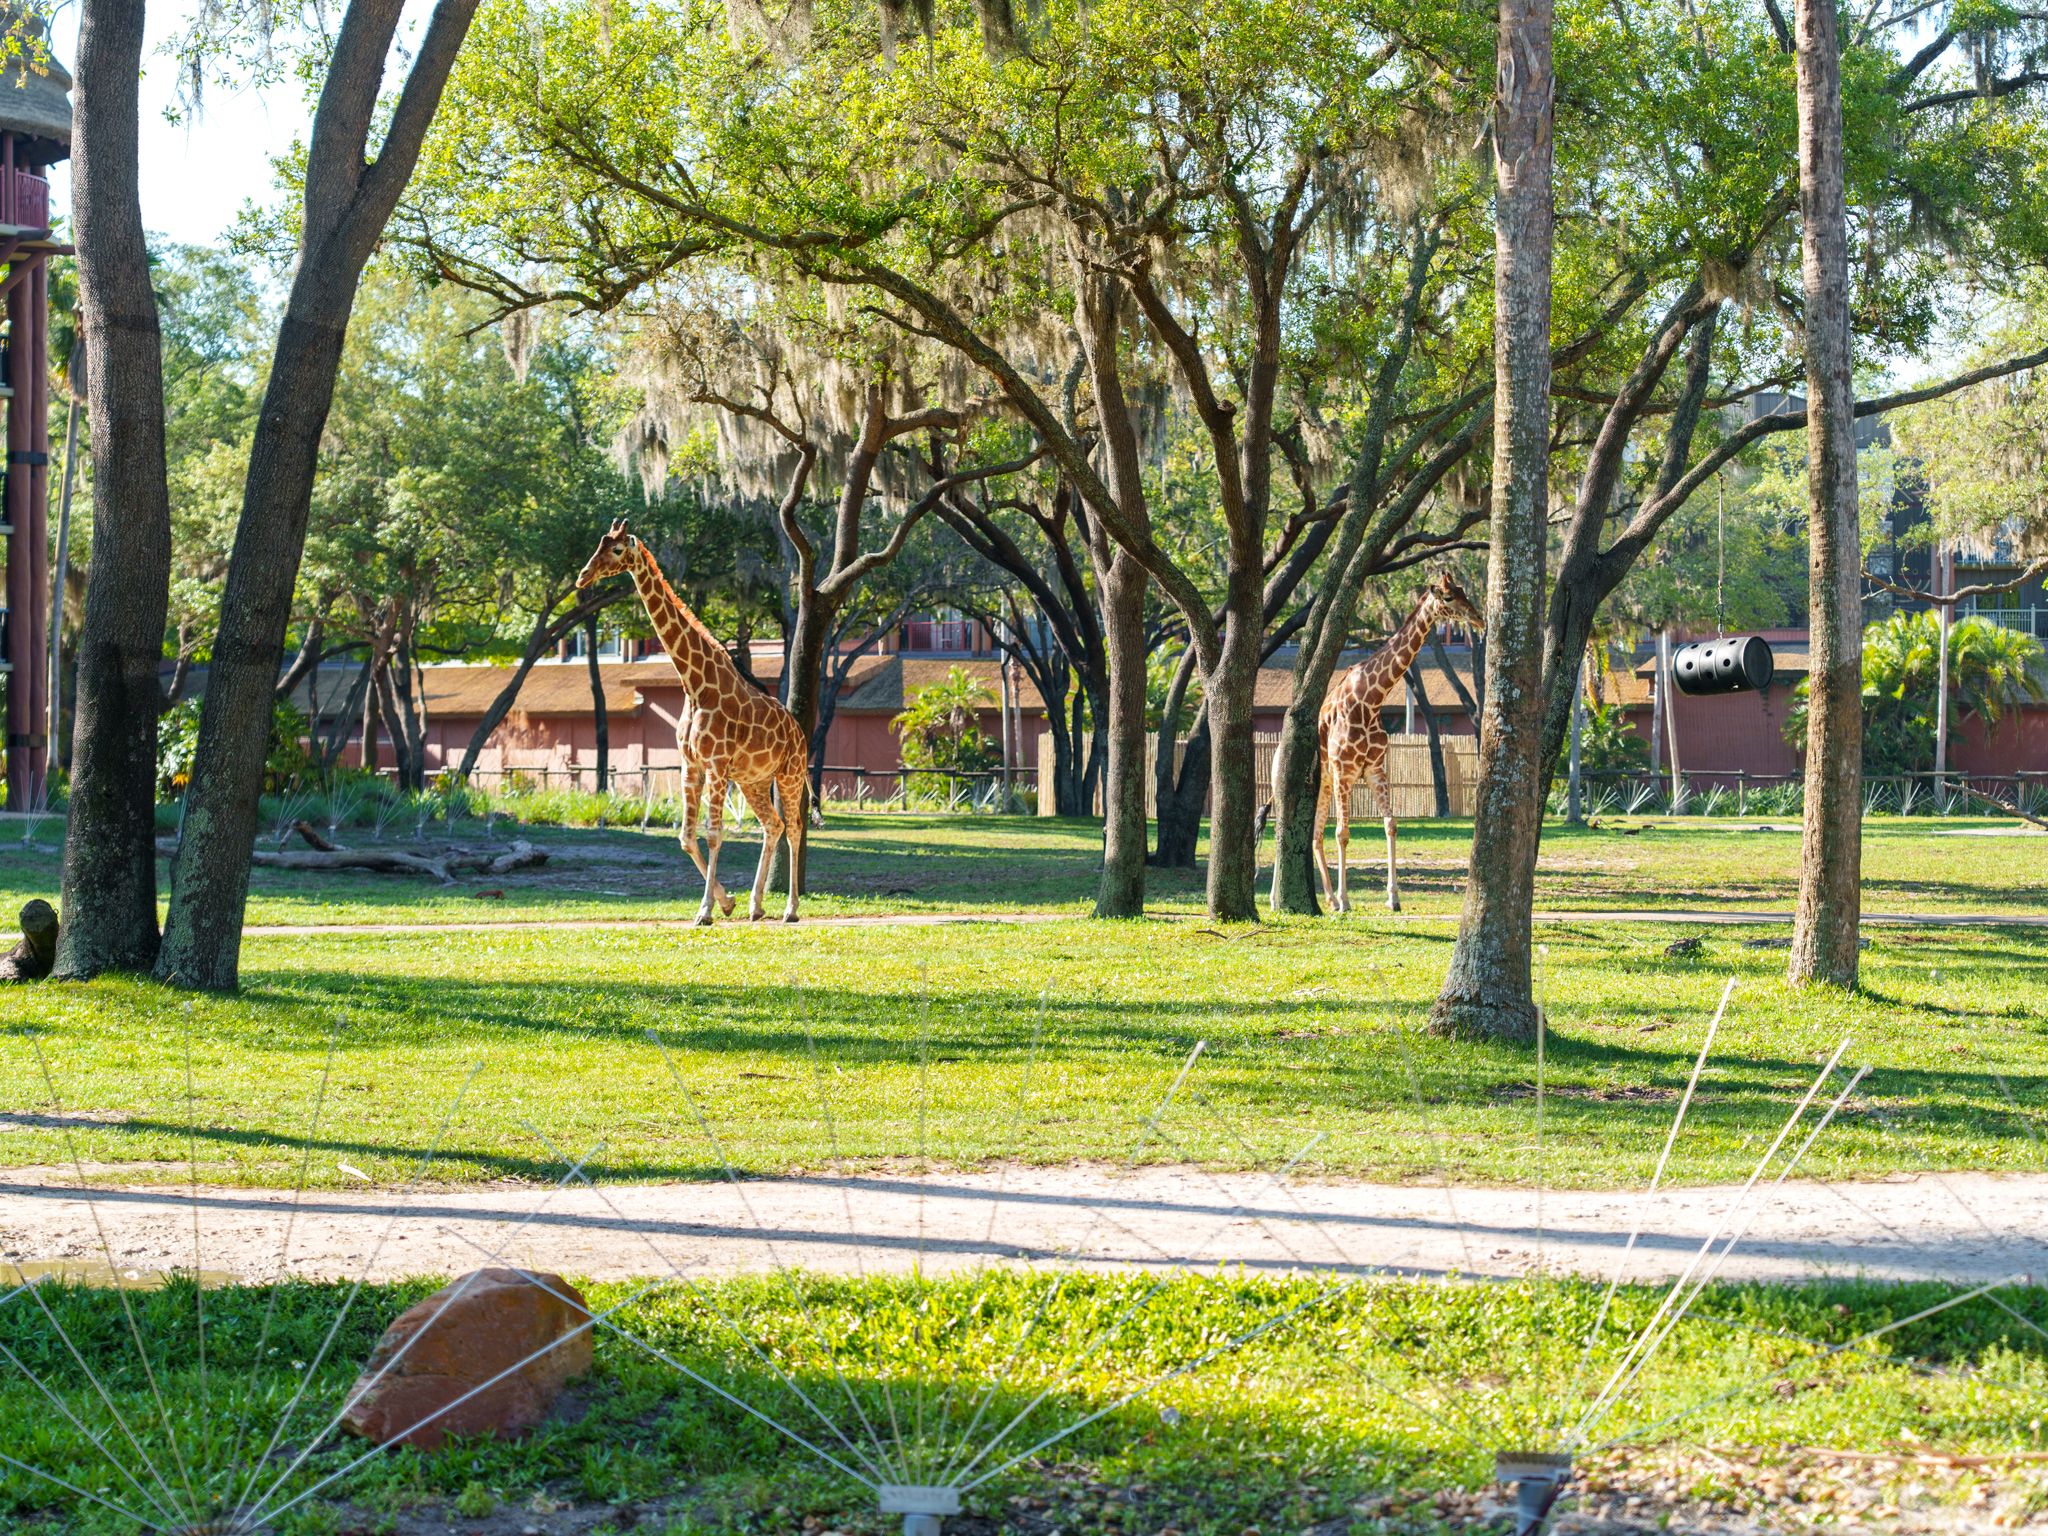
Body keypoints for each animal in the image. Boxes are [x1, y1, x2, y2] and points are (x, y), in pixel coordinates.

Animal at [577, 520, 811, 924]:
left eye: (618, 550)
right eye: (598, 545)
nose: (582, 576)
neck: (693, 684)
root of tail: (799, 731)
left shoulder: (716, 766)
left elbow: (714, 834)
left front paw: (705, 910)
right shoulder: (691, 766)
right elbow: (686, 837)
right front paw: (727, 902)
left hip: (790, 773)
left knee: (794, 827)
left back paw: (791, 910)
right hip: (754, 780)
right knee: (774, 824)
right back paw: (756, 905)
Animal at [1270, 571, 1485, 915]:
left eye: (1464, 591)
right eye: (1449, 597)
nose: (1479, 619)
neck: (1371, 700)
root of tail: (1278, 752)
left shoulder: (1374, 769)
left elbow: (1390, 824)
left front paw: (1393, 897)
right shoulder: (1345, 771)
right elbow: (1343, 833)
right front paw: (1346, 901)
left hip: (1322, 784)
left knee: (1314, 836)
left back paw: (1327, 899)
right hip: (1286, 783)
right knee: (1282, 829)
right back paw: (1280, 900)